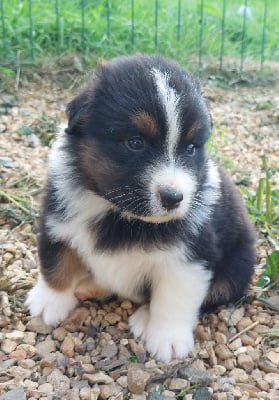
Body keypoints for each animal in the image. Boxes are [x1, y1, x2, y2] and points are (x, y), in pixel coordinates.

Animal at [26, 54, 256, 364]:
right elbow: (56, 263)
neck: (119, 214)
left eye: (191, 148)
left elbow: (173, 299)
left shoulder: (189, 257)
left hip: (235, 271)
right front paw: (48, 302)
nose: (174, 197)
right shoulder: (56, 221)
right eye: (135, 142)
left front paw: (168, 338)